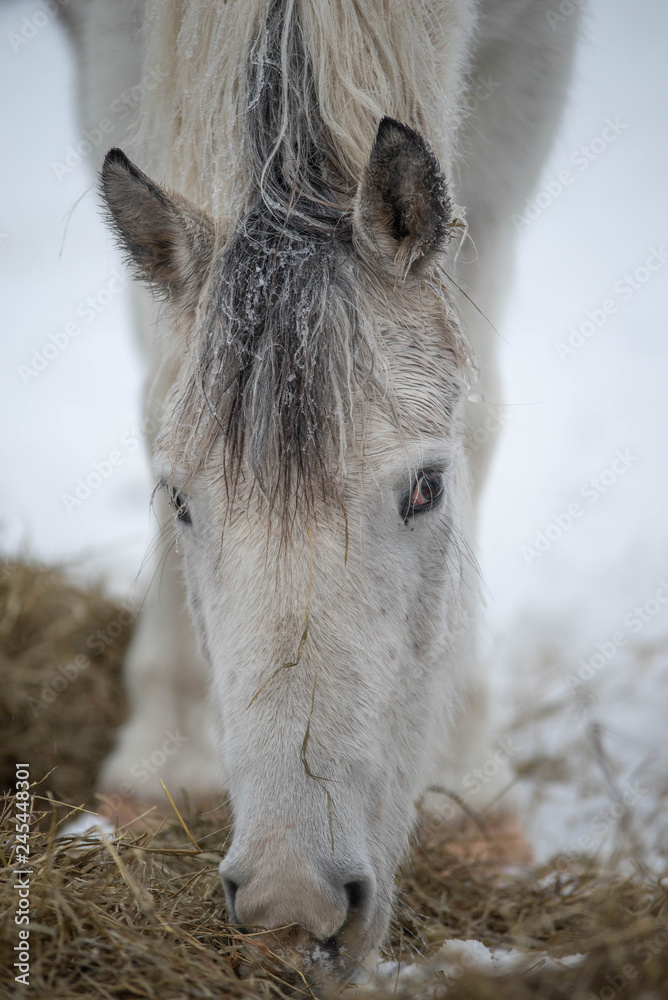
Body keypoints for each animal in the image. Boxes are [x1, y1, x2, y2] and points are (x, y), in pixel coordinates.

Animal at [61, 0, 580, 977]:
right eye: (179, 502)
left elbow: (478, 398)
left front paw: (467, 787)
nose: (293, 902)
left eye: (428, 490)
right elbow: (163, 387)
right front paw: (163, 760)